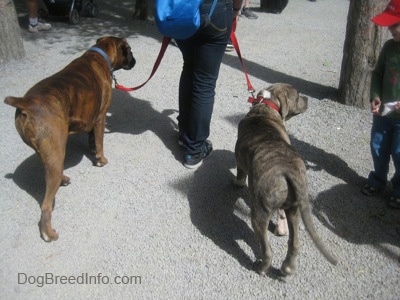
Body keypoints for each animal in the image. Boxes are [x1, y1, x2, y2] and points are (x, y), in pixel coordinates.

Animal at [3, 36, 137, 243]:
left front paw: (92, 149)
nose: (134, 61)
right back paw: (48, 233)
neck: (100, 54)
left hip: (50, 153)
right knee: (46, 205)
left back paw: (63, 179)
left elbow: (92, 138)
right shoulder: (100, 118)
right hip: (56, 152)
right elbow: (100, 141)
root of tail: (26, 103)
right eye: (129, 50)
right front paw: (100, 159)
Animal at [234, 83, 338, 276]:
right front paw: (281, 230)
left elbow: (240, 174)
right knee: (294, 241)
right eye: (297, 96)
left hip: (259, 213)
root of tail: (287, 170)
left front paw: (236, 183)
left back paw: (261, 267)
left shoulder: (239, 159)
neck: (267, 105)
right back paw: (288, 268)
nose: (307, 98)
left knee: (267, 249)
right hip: (295, 209)